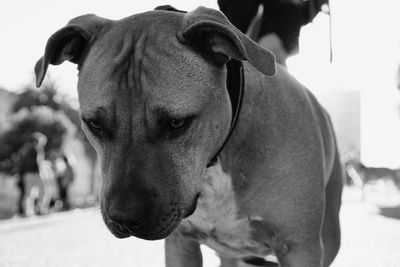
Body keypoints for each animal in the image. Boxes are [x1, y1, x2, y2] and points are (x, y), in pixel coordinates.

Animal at [35, 5, 344, 266]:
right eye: (94, 124)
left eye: (176, 122)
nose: (124, 217)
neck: (215, 162)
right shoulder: (179, 244)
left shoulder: (299, 248)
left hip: (328, 238)